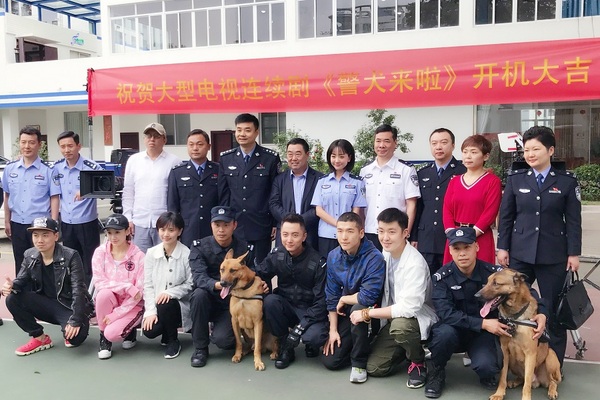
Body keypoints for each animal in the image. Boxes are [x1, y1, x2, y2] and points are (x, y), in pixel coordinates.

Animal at [474, 268, 564, 400]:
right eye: (488, 282)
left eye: (496, 283)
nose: (476, 296)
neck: (514, 318)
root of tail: (537, 381)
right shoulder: (505, 352)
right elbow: (502, 377)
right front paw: (499, 393)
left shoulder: (531, 354)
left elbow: (526, 385)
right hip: (513, 362)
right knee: (522, 378)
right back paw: (513, 382)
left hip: (550, 357)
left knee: (552, 381)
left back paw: (552, 391)